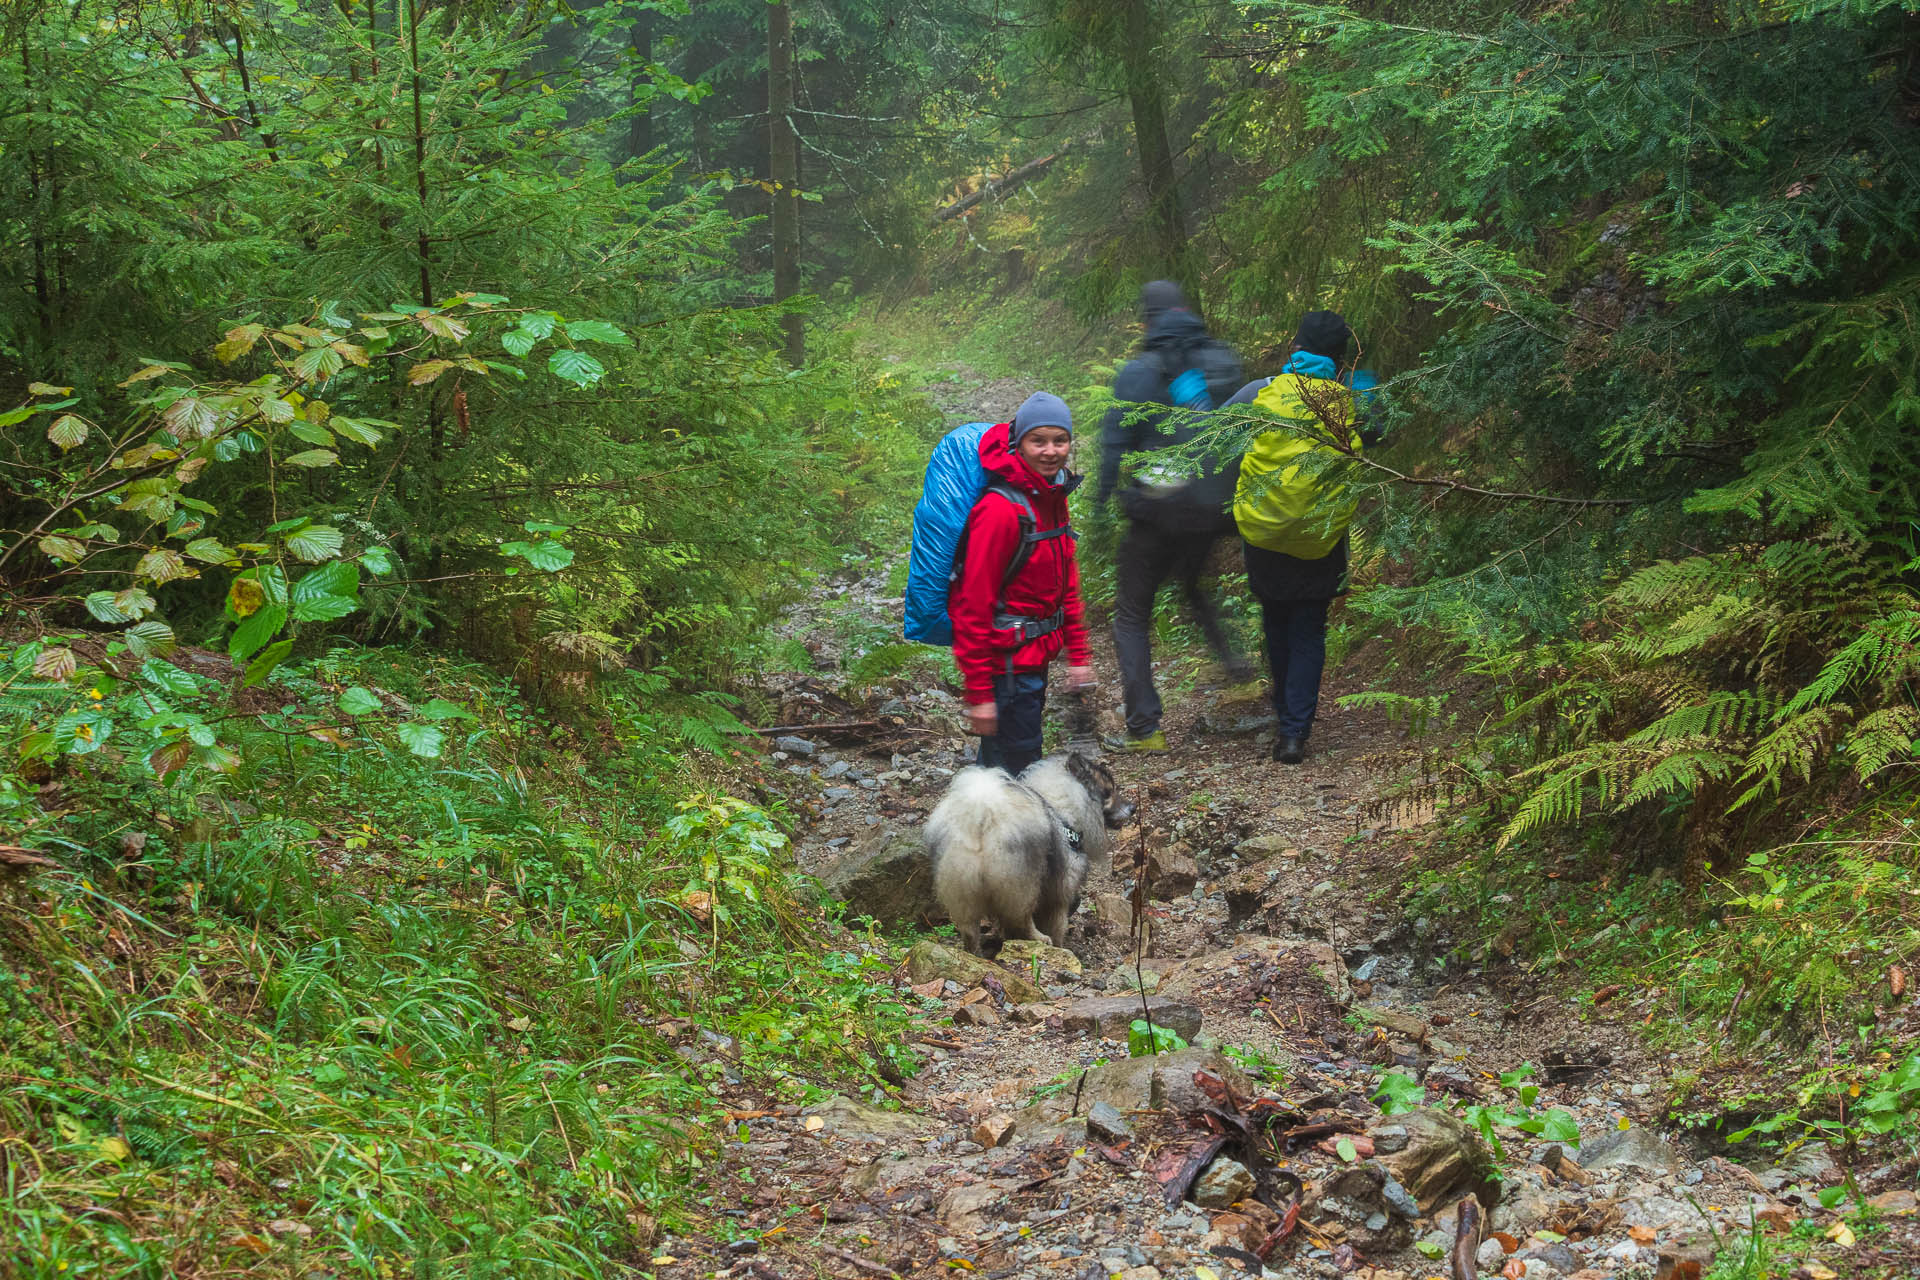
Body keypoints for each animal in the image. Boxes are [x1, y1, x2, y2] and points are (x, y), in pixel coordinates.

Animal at [921, 752, 1128, 959]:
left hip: (964, 890)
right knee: (1022, 918)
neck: (1063, 808)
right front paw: (1060, 946)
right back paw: (1040, 938)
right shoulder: (1061, 892)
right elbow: (1058, 924)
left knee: (970, 930)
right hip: (1023, 885)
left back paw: (975, 954)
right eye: (1109, 791)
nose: (1132, 807)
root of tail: (981, 821)